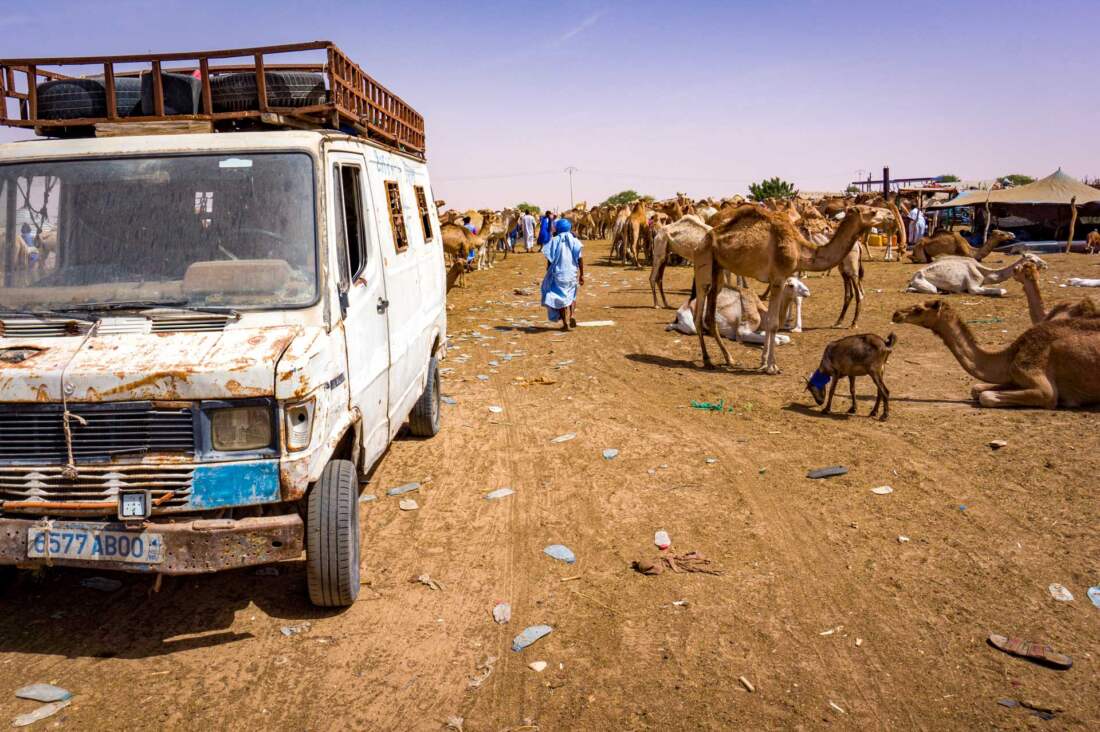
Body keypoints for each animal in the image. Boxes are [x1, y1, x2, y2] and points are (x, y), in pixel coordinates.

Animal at [686, 206, 875, 374]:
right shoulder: (779, 279)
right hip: (703, 260)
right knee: (698, 314)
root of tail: (702, 241)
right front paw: (772, 367)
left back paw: (729, 359)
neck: (799, 248)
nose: (884, 214)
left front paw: (763, 362)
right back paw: (707, 360)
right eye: (873, 211)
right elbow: (774, 323)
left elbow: (770, 320)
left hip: (716, 269)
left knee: (710, 316)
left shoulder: (778, 280)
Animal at [888, 299, 1100, 411]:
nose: (896, 313)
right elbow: (976, 388)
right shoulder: (1014, 377)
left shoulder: (1042, 385)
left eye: (919, 309)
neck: (1009, 356)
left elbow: (986, 396)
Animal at [902, 253, 1047, 295]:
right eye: (1032, 260)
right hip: (922, 281)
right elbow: (1001, 290)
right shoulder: (973, 286)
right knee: (931, 289)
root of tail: (914, 275)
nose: (1046, 264)